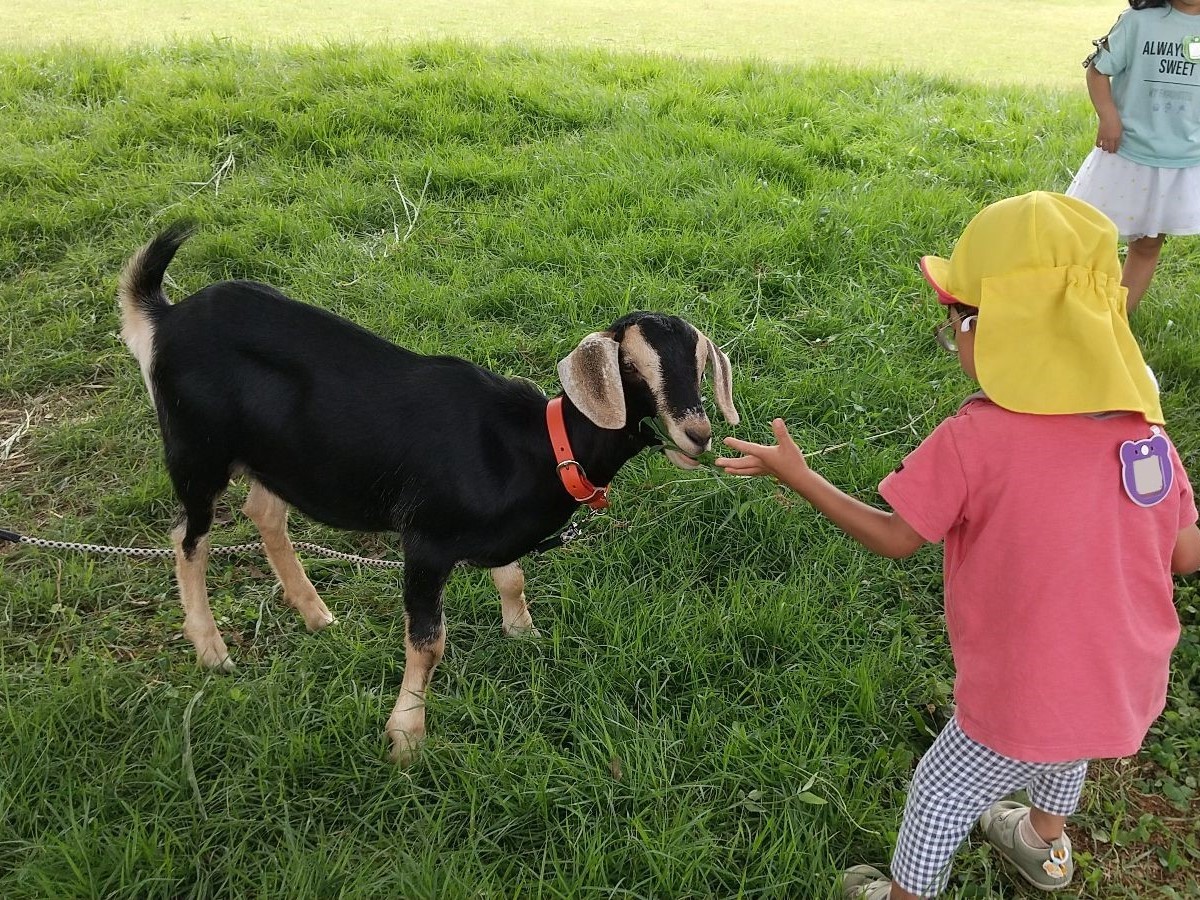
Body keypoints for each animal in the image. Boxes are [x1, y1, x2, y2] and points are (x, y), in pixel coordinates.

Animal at [121, 229, 739, 763]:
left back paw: (316, 614)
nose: (698, 433)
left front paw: (525, 635)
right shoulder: (424, 541)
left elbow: (511, 578)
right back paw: (212, 650)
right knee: (188, 537)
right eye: (629, 366)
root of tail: (165, 317)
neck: (540, 449)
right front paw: (406, 737)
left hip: (275, 459)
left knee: (264, 512)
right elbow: (428, 642)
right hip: (196, 450)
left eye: (698, 364)